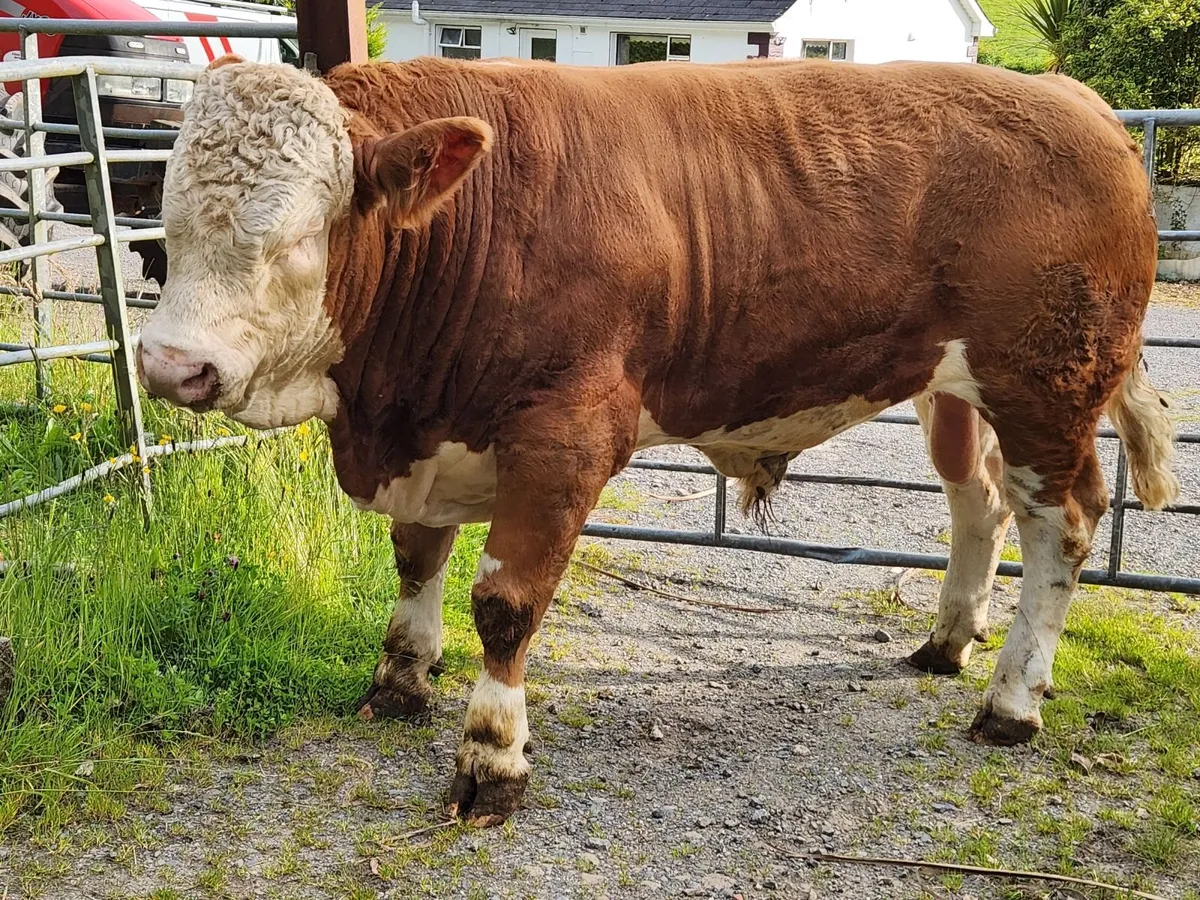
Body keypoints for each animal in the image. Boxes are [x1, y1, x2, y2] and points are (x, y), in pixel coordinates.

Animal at [136, 52, 1180, 827]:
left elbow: (506, 604)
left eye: (296, 238)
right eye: (167, 223)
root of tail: (1070, 95)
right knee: (981, 502)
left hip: (1047, 385)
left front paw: (492, 757)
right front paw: (401, 675)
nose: (169, 365)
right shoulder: (427, 435)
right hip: (953, 391)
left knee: (1065, 523)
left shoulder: (564, 435)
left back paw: (1010, 703)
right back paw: (948, 642)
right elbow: (416, 557)